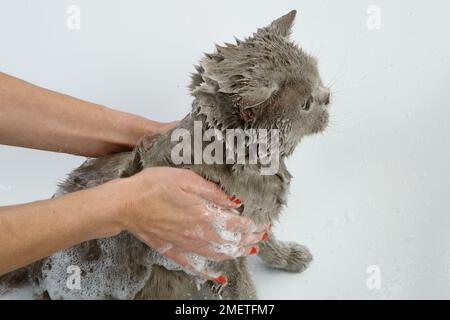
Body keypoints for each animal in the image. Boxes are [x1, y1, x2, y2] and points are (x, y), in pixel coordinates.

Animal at [0, 10, 330, 300]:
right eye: (306, 104)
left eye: (318, 77)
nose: (327, 97)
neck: (254, 170)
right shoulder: (216, 248)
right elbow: (241, 285)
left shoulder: (255, 216)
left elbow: (266, 242)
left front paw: (289, 257)